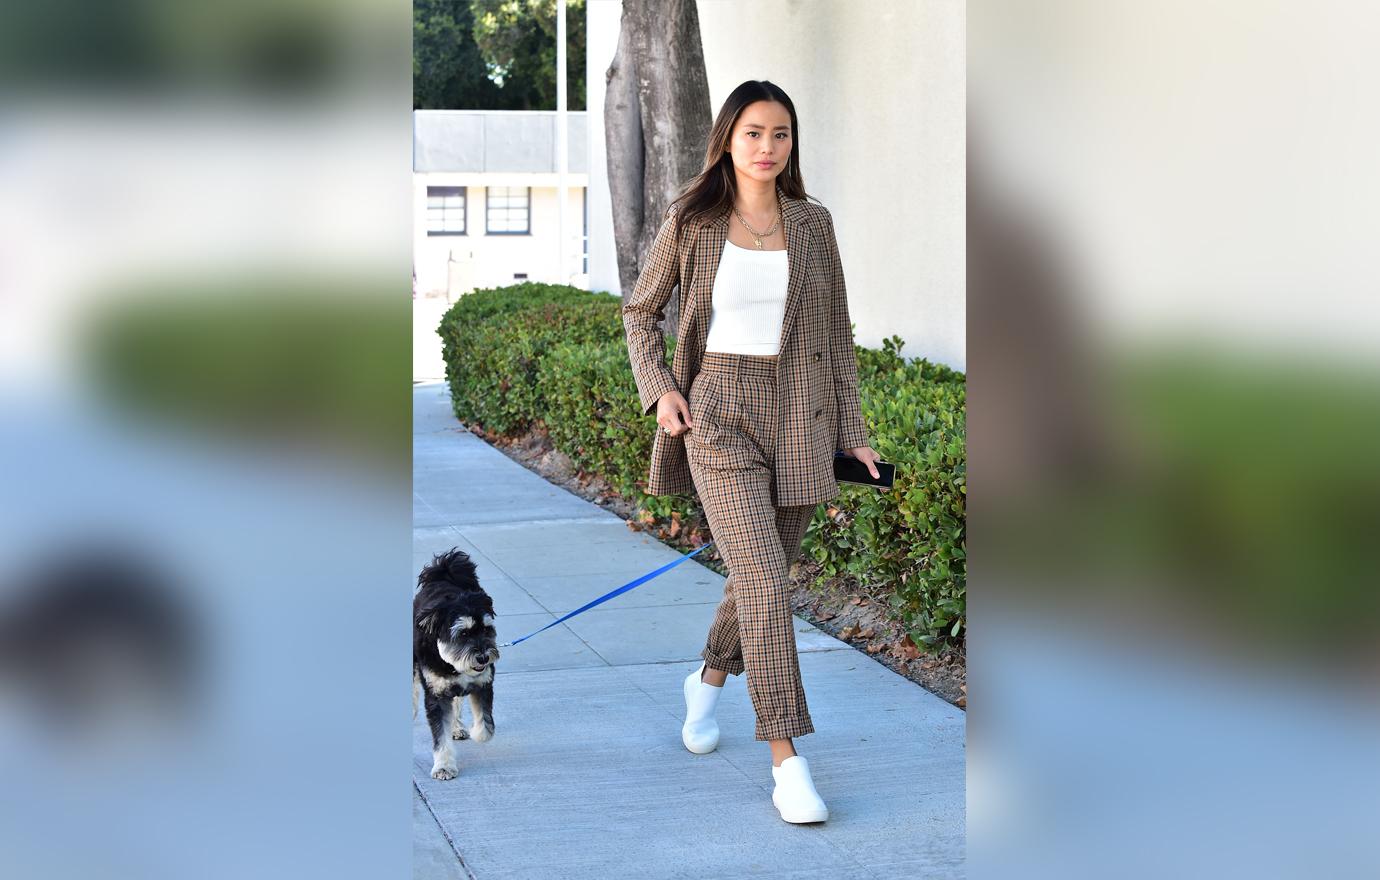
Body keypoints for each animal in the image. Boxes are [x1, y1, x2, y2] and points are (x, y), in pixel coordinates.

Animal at [414, 548, 502, 783]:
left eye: (487, 629)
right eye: (463, 634)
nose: (483, 658)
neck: (452, 664)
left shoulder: (483, 684)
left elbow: (485, 723)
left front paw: (477, 733)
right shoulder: (436, 696)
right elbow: (440, 738)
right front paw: (444, 767)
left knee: (456, 704)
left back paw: (457, 727)